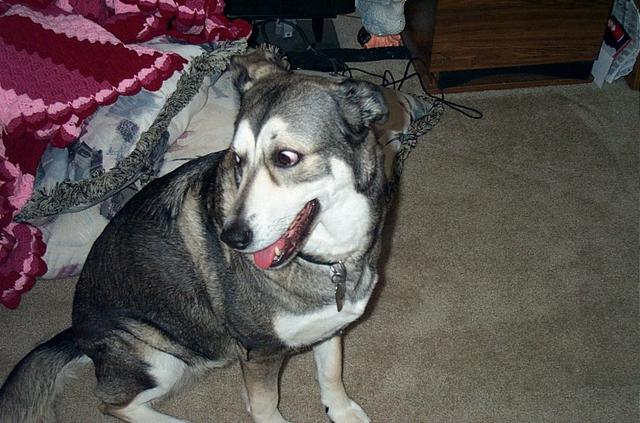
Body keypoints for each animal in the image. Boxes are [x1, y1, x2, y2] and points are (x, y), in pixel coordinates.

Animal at [0, 47, 426, 423]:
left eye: (286, 158)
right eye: (237, 158)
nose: (232, 239)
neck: (329, 257)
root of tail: (76, 332)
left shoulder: (330, 327)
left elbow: (331, 372)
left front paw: (341, 411)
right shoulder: (259, 353)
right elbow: (266, 406)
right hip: (158, 359)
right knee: (112, 404)